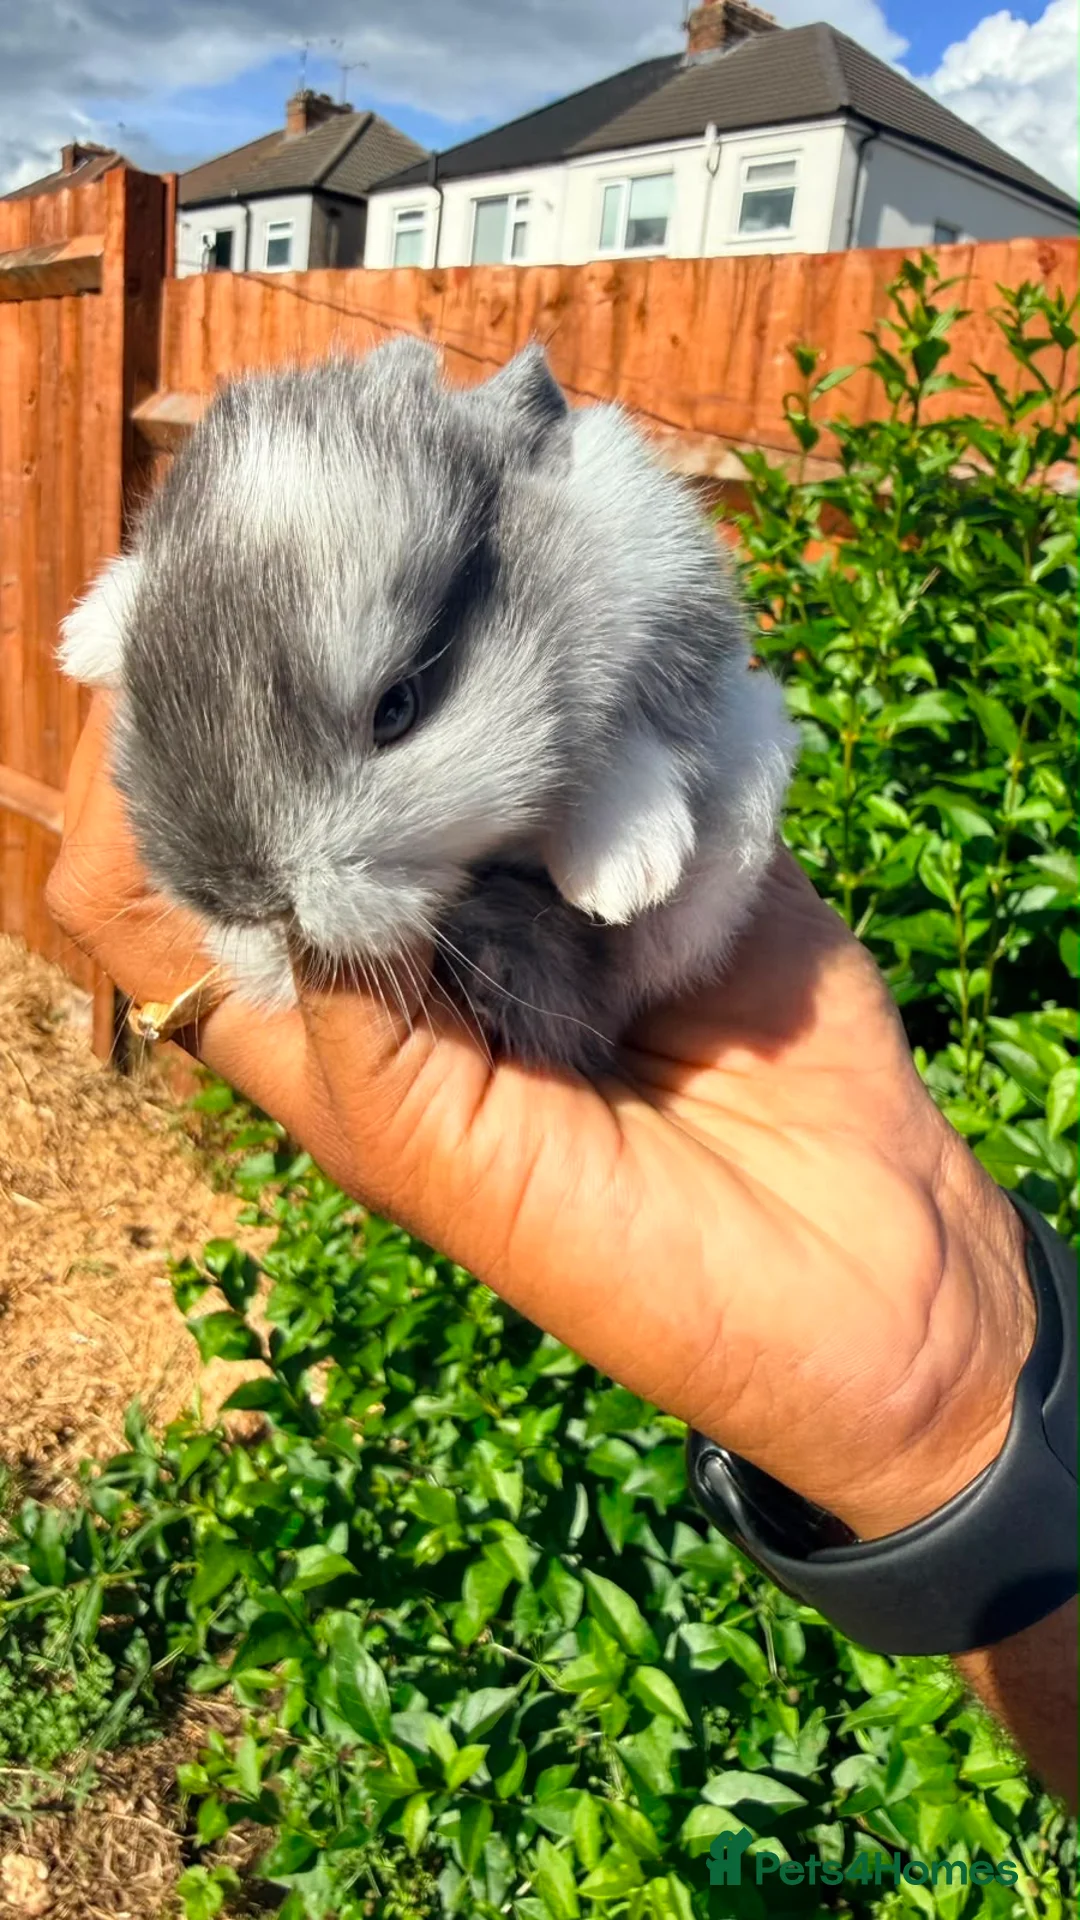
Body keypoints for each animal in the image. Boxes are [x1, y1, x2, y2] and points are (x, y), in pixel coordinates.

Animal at [59, 338, 797, 1073]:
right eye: (149, 656)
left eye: (396, 709)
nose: (248, 900)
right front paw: (83, 638)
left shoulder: (669, 597)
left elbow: (645, 730)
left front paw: (620, 874)